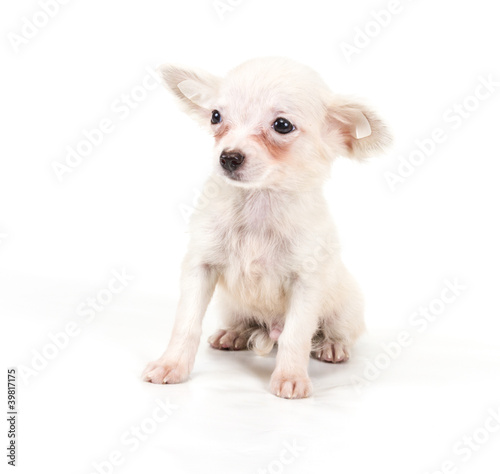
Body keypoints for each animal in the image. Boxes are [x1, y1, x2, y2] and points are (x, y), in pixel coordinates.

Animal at [143, 58, 392, 400]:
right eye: (215, 117)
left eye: (282, 125)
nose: (228, 157)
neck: (258, 203)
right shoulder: (200, 266)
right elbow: (186, 324)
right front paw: (172, 365)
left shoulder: (305, 283)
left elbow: (296, 335)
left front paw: (290, 377)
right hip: (231, 305)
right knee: (246, 323)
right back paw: (233, 334)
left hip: (346, 309)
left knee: (332, 332)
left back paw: (332, 345)